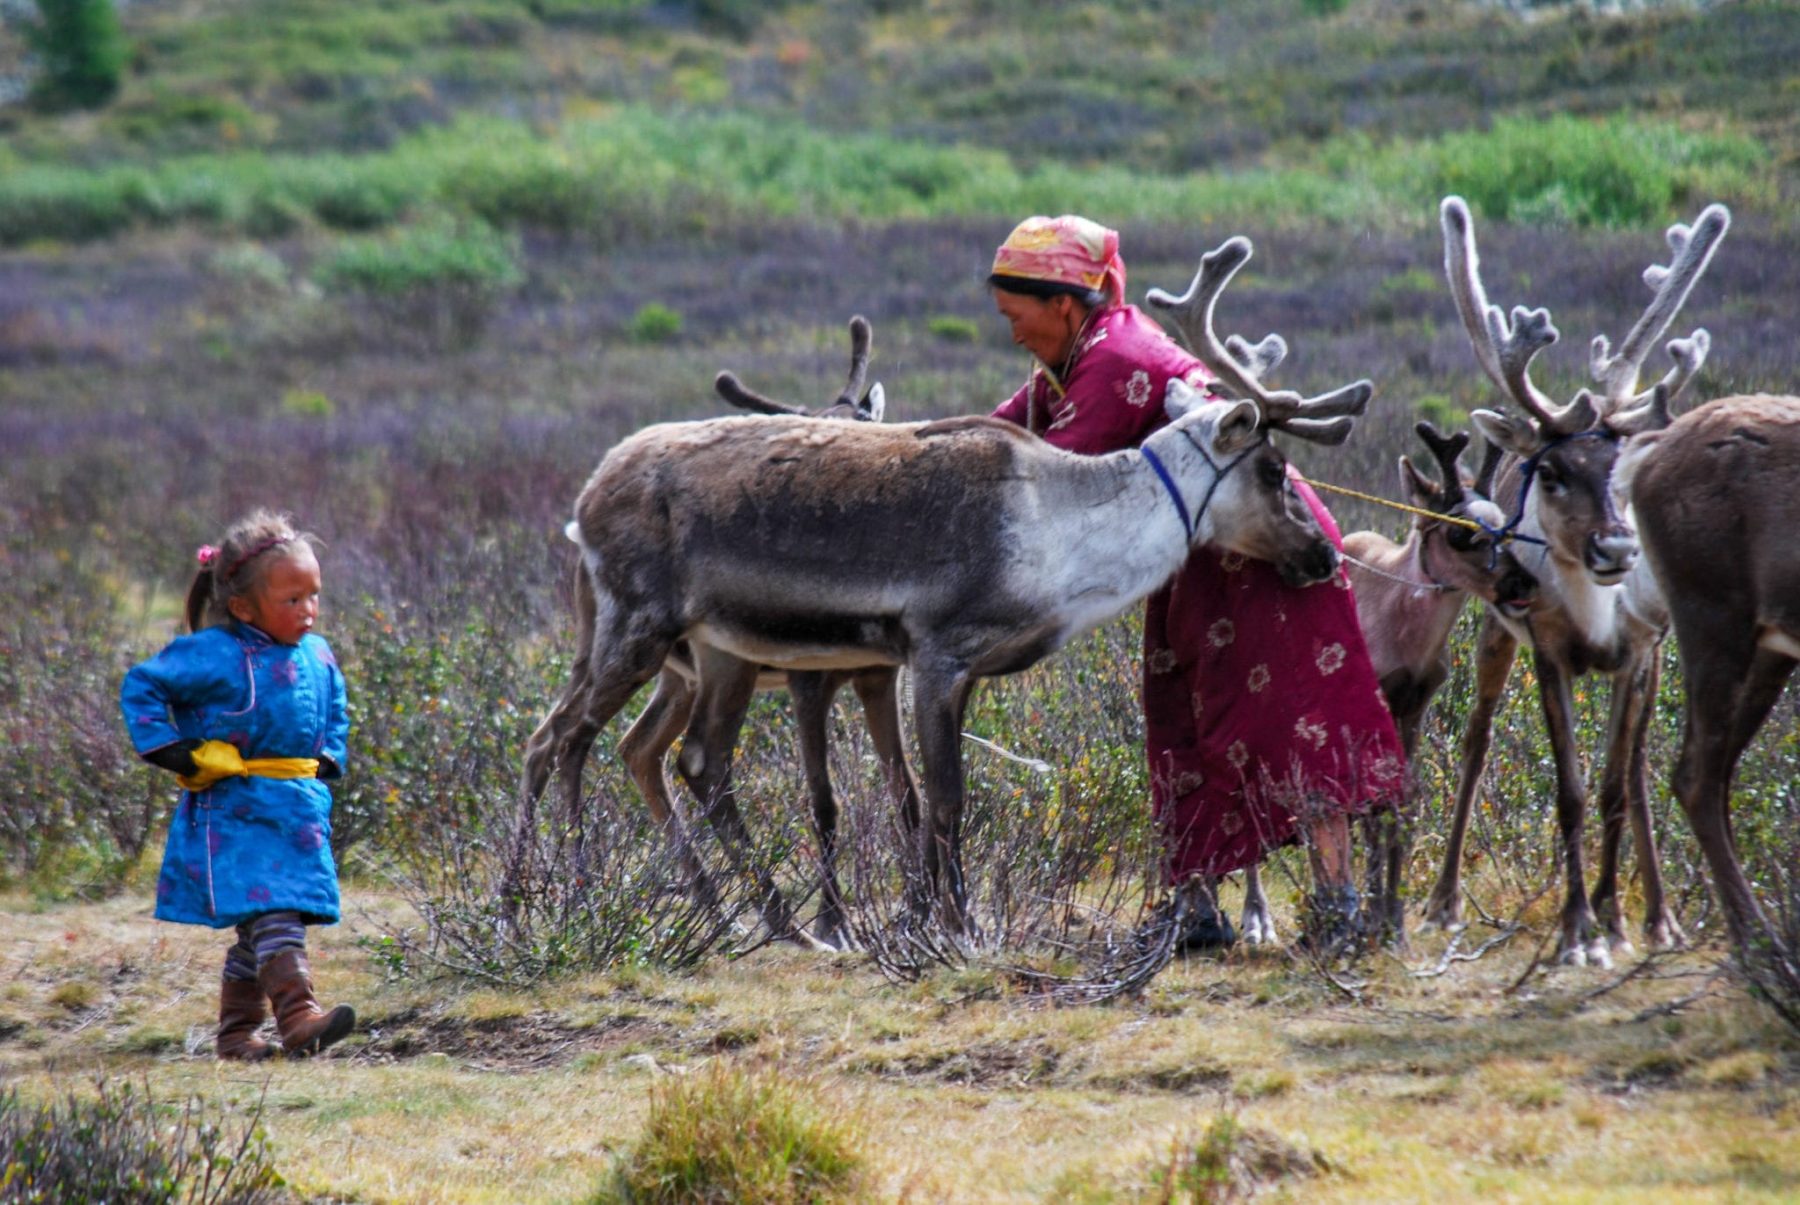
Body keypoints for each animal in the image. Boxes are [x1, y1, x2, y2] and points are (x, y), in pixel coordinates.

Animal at [518, 235, 1376, 937]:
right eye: (1274, 469)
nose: (1322, 558)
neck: (1061, 532)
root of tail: (587, 494)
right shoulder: (930, 655)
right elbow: (944, 798)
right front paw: (952, 926)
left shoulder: (949, 672)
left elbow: (923, 799)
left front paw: (925, 916)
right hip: (638, 625)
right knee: (561, 740)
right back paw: (560, 899)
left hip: (706, 652)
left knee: (683, 758)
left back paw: (763, 919)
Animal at [1421, 194, 1729, 967]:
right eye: (1555, 474)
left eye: (1621, 470)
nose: (1617, 545)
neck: (1596, 617)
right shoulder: (1548, 651)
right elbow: (1570, 789)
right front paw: (1577, 931)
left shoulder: (1638, 653)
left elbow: (1618, 786)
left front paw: (1616, 920)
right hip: (1493, 634)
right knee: (1476, 742)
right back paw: (1443, 901)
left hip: (1663, 654)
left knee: (1643, 767)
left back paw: (1660, 919)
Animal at [1620, 393, 1800, 1019]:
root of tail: (1648, 455)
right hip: (1714, 618)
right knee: (1697, 776)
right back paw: (1766, 956)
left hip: (1769, 648)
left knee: (1711, 777)